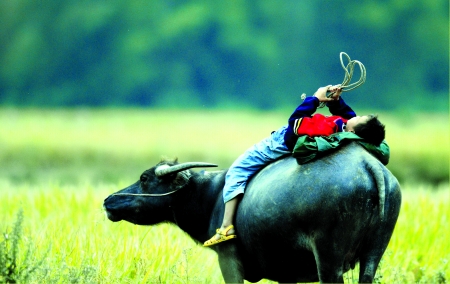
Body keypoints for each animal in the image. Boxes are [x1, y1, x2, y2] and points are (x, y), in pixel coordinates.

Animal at [104, 143, 400, 282]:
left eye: (144, 178)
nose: (109, 200)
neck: (210, 196)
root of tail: (367, 164)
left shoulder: (228, 259)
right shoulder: (286, 273)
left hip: (329, 260)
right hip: (373, 254)